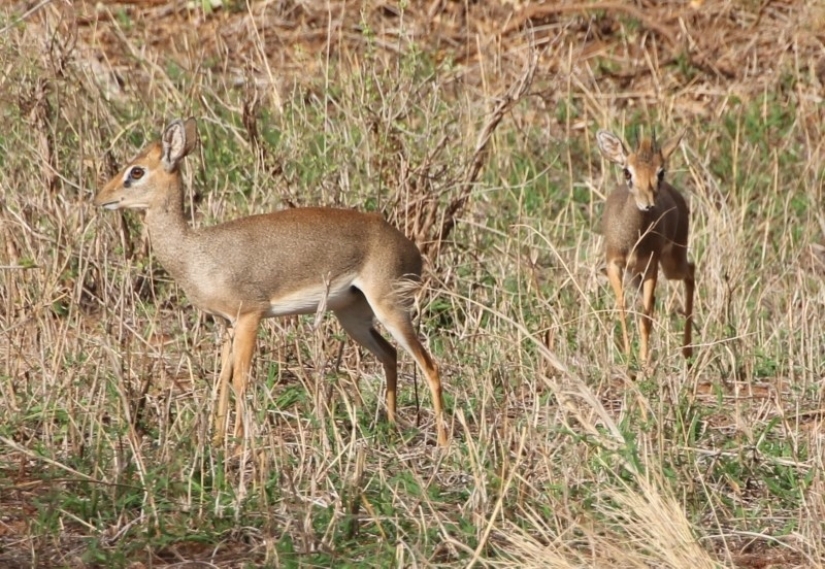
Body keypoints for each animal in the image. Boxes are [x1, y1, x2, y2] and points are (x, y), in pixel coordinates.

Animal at [95, 116, 450, 444]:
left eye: (136, 171)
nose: (100, 198)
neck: (195, 251)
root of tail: (410, 248)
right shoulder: (228, 324)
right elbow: (223, 378)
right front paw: (217, 441)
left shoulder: (250, 316)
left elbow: (241, 378)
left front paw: (240, 446)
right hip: (352, 316)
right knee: (390, 355)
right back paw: (390, 426)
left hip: (389, 309)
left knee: (430, 366)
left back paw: (444, 445)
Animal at [596, 127, 692, 360]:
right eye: (627, 172)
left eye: (661, 172)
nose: (647, 204)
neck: (633, 241)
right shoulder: (613, 264)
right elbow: (623, 309)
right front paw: (628, 356)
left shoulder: (651, 266)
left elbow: (645, 317)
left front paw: (643, 362)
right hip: (635, 274)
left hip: (672, 262)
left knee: (691, 273)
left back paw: (687, 352)